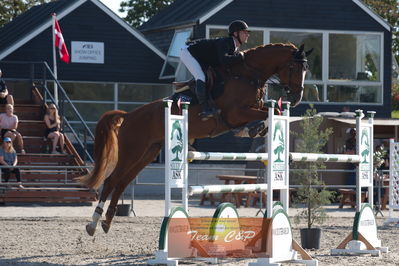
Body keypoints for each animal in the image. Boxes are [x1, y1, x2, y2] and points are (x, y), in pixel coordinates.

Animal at [76, 42, 312, 236]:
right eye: (293, 68)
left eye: (305, 69)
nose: (296, 98)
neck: (247, 75)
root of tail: (128, 115)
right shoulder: (235, 113)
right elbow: (267, 113)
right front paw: (253, 129)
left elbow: (274, 112)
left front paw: (258, 130)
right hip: (132, 152)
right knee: (111, 181)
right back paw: (93, 224)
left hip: (147, 153)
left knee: (122, 183)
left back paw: (106, 222)